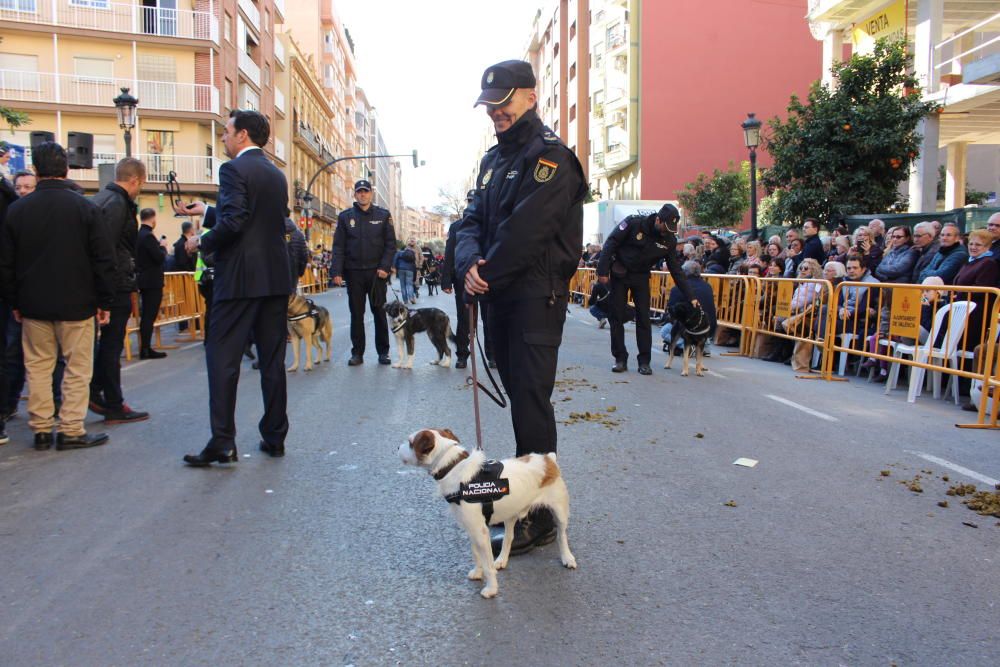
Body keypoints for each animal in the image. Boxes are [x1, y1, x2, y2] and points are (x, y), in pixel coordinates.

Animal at [394, 428, 576, 600]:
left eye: (410, 443)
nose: (396, 447)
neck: (452, 466)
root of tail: (547, 459)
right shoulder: (473, 529)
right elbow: (476, 554)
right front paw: (477, 572)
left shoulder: (480, 532)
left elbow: (488, 566)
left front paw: (491, 589)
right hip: (511, 513)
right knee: (508, 538)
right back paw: (501, 559)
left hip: (559, 512)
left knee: (561, 536)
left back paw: (567, 558)